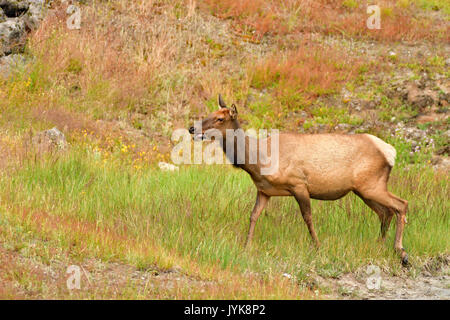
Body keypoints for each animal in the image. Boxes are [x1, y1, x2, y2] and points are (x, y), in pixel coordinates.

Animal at [188, 94, 410, 264]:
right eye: (209, 113)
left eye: (219, 119)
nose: (192, 129)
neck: (258, 162)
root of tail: (390, 152)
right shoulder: (264, 191)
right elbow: (253, 215)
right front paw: (246, 246)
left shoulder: (299, 184)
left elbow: (307, 217)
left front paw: (318, 247)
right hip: (364, 189)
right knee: (385, 212)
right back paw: (379, 245)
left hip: (372, 185)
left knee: (401, 204)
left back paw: (401, 251)